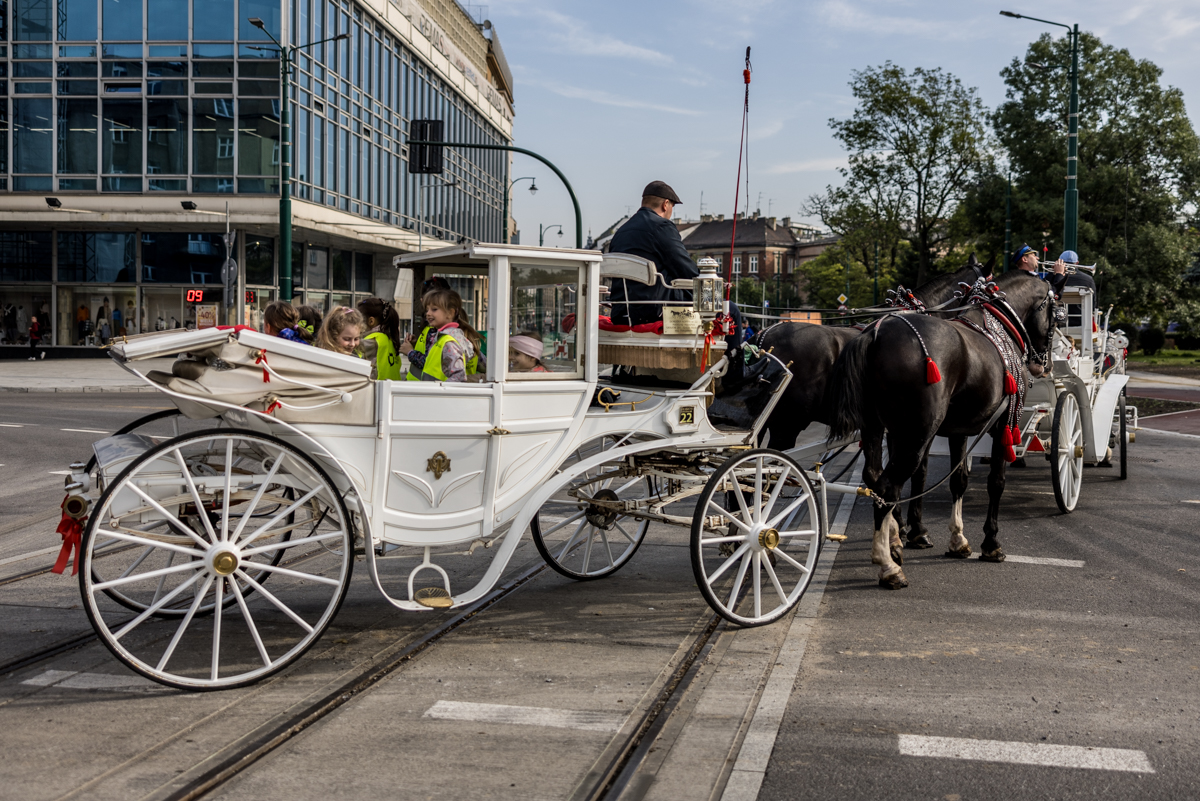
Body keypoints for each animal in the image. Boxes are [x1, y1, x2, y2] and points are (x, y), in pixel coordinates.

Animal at [830, 268, 1056, 587]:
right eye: (1056, 314)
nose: (1043, 365)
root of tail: (876, 333)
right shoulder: (1002, 424)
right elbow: (995, 482)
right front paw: (991, 543)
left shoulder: (958, 430)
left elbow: (958, 480)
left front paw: (957, 539)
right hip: (916, 433)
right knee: (889, 485)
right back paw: (888, 564)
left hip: (876, 427)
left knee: (875, 478)